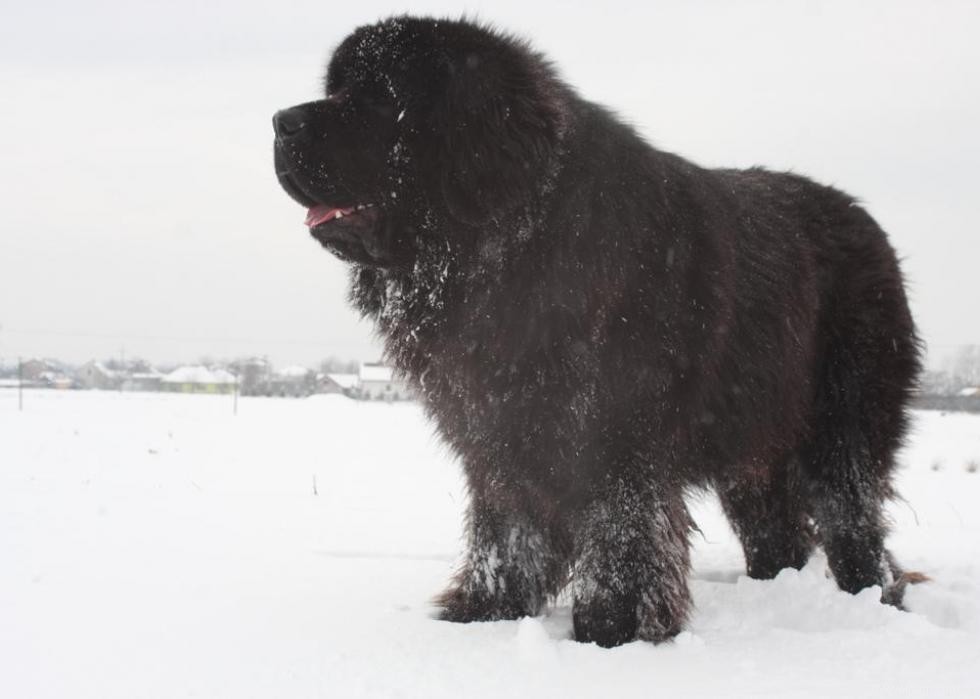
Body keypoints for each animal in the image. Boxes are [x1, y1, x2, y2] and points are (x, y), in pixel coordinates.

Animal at [272, 16, 924, 652]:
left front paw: (613, 632)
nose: (280, 120)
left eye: (381, 99)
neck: (511, 254)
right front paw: (485, 615)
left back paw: (868, 599)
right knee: (777, 534)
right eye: (335, 90)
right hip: (752, 444)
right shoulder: (496, 431)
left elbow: (623, 537)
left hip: (842, 422)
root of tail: (870, 225)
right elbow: (506, 532)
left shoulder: (618, 437)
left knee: (851, 517)